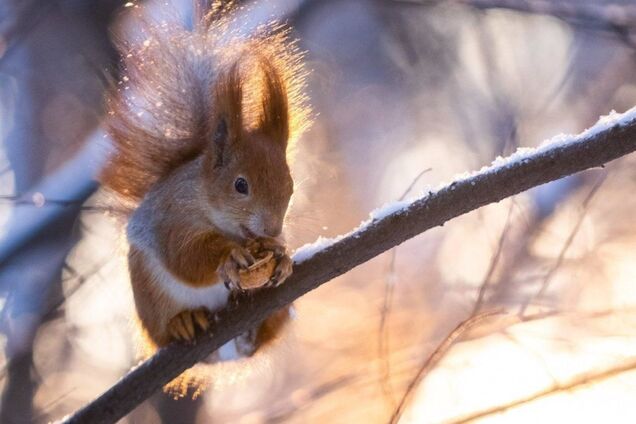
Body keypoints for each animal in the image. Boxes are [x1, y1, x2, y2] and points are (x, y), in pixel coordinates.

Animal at [97, 1, 310, 396]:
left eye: (290, 187)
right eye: (240, 185)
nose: (273, 229)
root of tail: (226, 354)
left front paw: (282, 254)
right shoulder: (173, 218)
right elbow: (186, 257)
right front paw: (229, 257)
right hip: (149, 294)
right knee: (164, 328)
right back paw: (183, 322)